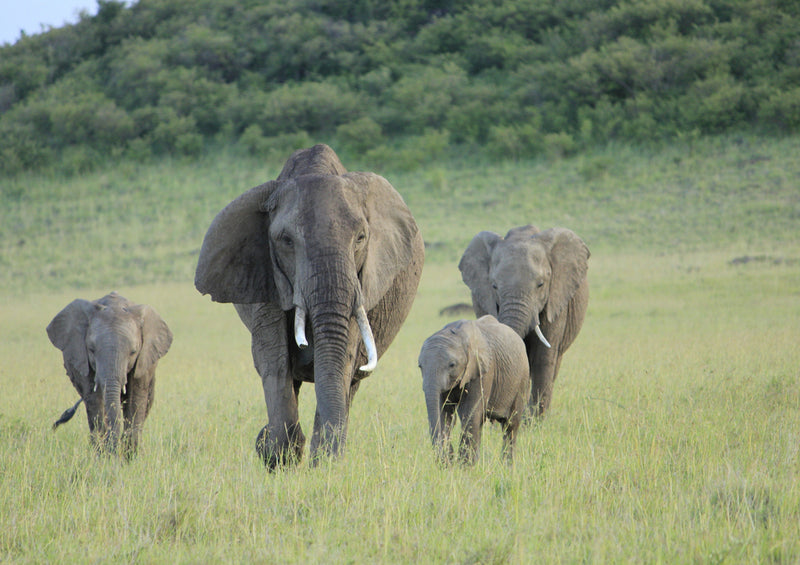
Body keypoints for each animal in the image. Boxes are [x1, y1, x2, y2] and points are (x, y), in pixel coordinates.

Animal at [46, 290, 173, 454]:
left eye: (133, 352)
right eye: (91, 350)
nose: (114, 452)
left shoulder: (144, 361)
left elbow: (135, 399)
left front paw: (129, 456)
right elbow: (95, 400)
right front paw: (103, 454)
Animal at [195, 144, 424, 468]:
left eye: (361, 238)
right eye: (286, 240)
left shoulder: (358, 284)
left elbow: (341, 359)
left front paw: (323, 463)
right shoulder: (267, 273)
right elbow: (274, 360)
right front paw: (277, 453)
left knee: (350, 385)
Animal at [418, 312, 532, 462]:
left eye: (452, 365)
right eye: (420, 366)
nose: (447, 459)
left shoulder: (483, 370)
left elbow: (469, 413)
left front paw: (464, 465)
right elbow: (444, 412)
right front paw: (449, 462)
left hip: (521, 379)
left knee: (510, 425)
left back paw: (506, 465)